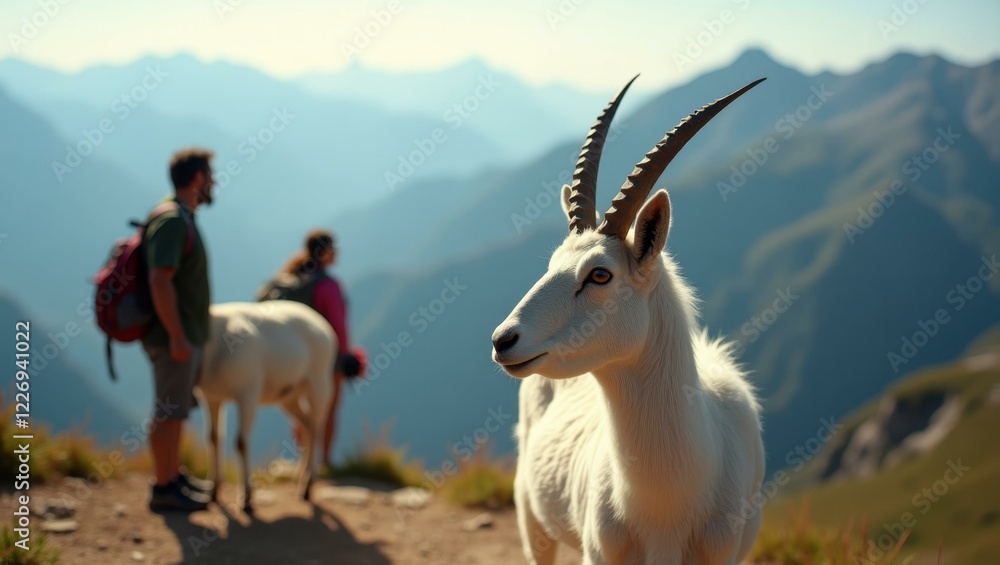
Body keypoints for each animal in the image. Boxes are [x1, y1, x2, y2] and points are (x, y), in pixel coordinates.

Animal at [197, 300, 335, 512]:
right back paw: (300, 478)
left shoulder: (248, 393)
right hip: (290, 396)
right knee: (307, 424)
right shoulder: (211, 396)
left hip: (319, 382)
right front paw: (213, 492)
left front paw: (246, 498)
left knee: (316, 427)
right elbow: (213, 437)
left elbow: (241, 442)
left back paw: (307, 486)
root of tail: (324, 327)